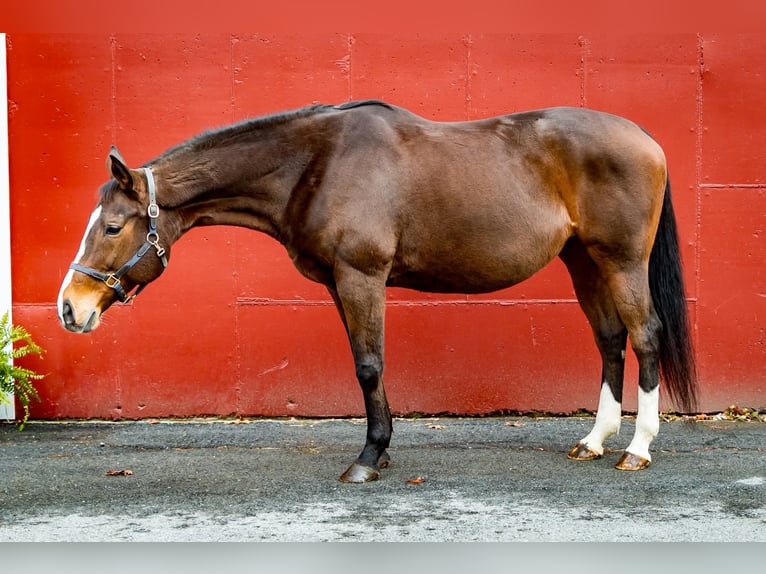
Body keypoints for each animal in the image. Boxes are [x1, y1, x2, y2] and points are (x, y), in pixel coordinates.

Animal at [57, 100, 697, 482]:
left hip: (621, 261)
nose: (70, 308)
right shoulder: (342, 285)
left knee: (644, 337)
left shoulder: (361, 276)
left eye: (111, 227)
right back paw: (594, 440)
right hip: (583, 261)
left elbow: (369, 365)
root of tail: (644, 137)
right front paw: (381, 450)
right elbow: (364, 364)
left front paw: (367, 458)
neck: (316, 163)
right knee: (610, 340)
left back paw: (637, 449)